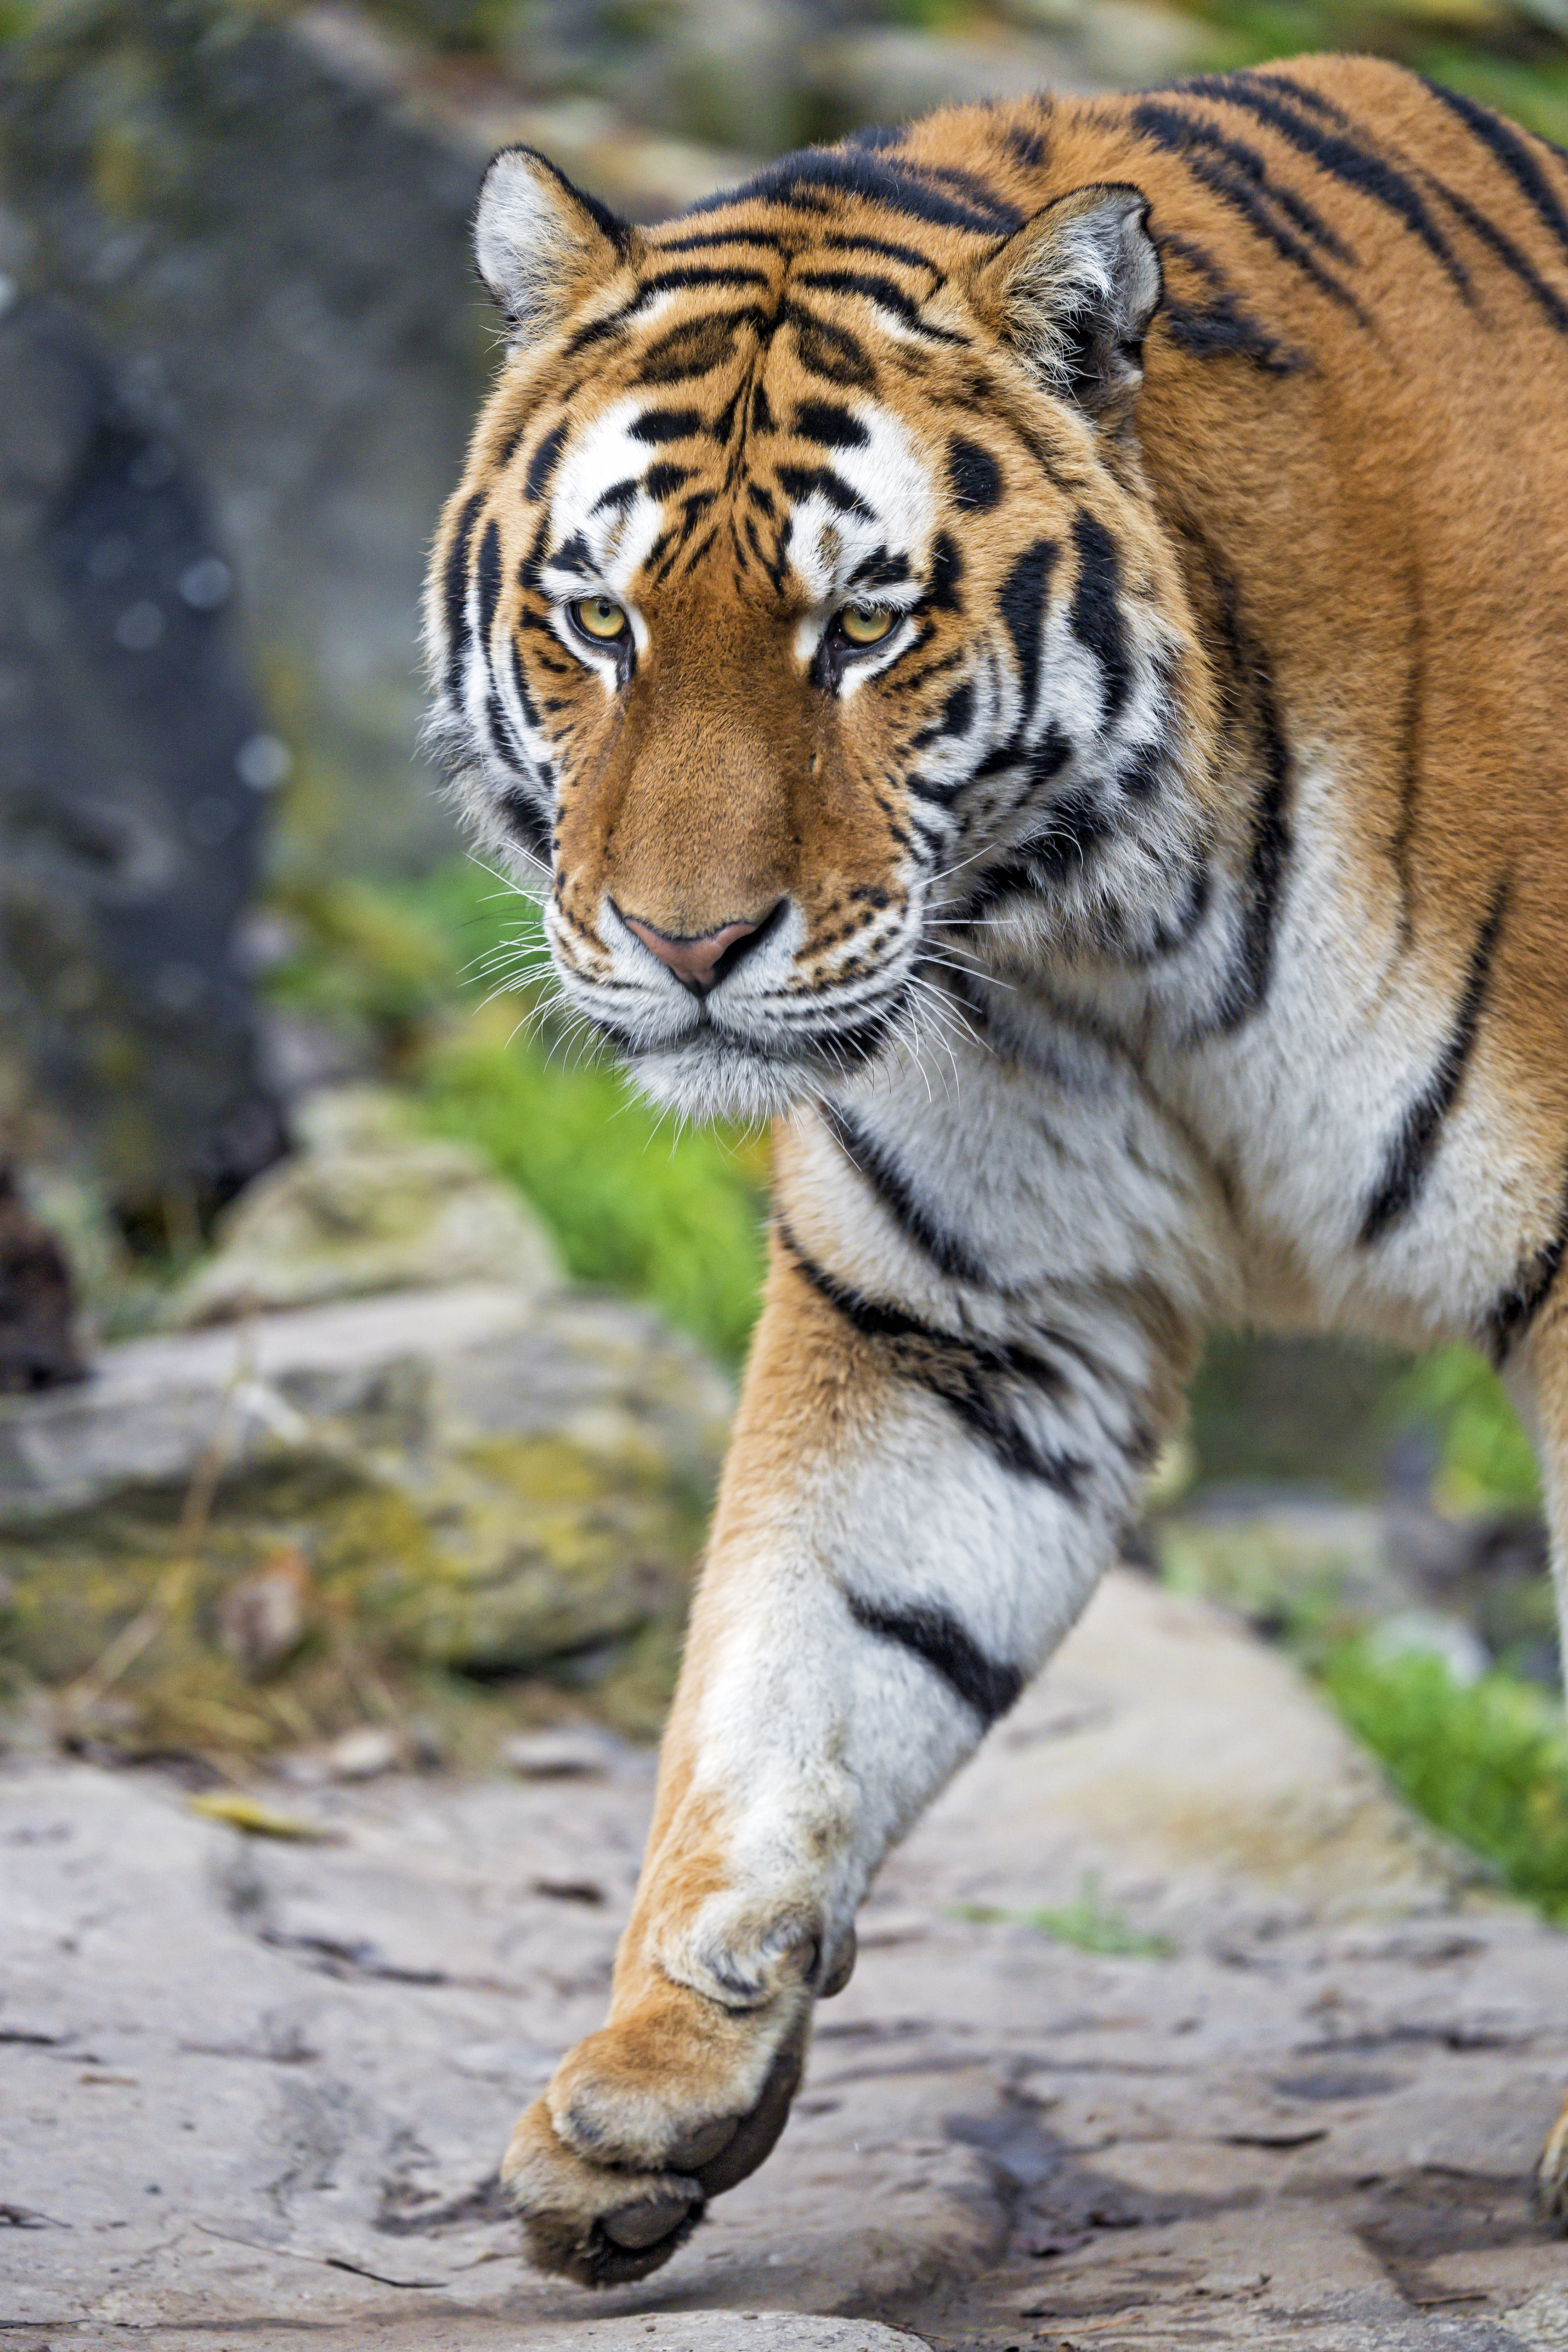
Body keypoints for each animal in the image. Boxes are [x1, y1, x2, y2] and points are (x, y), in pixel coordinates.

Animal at [424, 52, 1568, 2285]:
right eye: (598, 619)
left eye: (862, 624)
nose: (687, 942)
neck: (1112, 922)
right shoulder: (960, 1313)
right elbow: (805, 1650)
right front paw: (650, 2083)